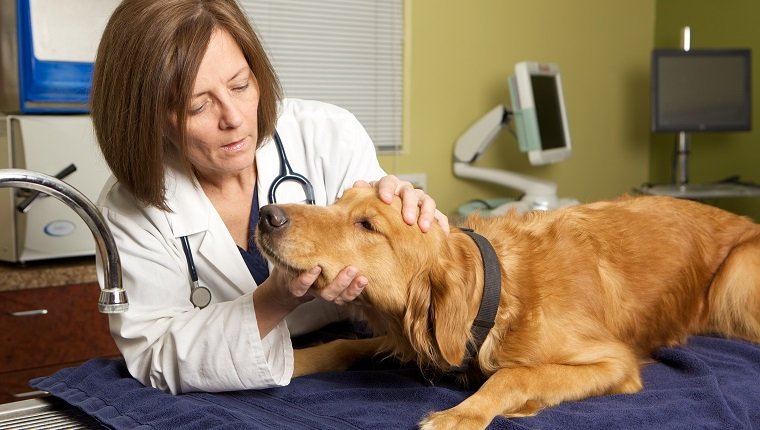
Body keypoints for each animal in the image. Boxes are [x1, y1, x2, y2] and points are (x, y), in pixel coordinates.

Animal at [255, 188, 760, 430]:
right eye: (336, 201)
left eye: (366, 225)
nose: (267, 215)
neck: (497, 296)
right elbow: (343, 345)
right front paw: (295, 359)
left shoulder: (615, 363)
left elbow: (515, 375)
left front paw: (461, 415)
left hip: (736, 275)